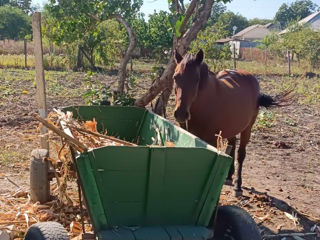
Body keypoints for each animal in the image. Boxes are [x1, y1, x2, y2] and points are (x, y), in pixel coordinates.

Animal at [174, 49, 282, 197]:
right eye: (175, 77)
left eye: (196, 79)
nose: (180, 113)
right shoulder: (190, 136)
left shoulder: (211, 140)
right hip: (231, 128)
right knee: (232, 145)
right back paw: (229, 175)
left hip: (247, 128)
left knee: (240, 154)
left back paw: (237, 185)